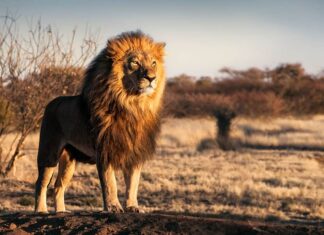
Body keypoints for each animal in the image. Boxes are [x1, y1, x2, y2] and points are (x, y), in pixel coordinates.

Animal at [35, 31, 166, 213]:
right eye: (135, 63)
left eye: (153, 63)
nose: (152, 78)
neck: (132, 105)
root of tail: (51, 103)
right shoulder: (105, 149)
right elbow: (110, 183)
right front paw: (113, 207)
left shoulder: (135, 151)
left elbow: (133, 183)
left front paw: (132, 206)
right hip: (49, 153)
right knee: (41, 184)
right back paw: (41, 210)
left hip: (69, 160)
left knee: (58, 186)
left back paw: (61, 212)